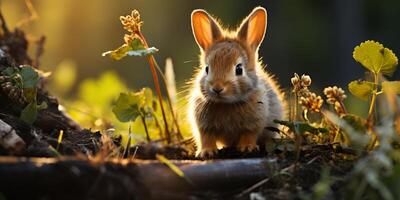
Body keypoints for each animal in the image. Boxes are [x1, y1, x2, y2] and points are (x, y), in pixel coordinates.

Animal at [189, 6, 286, 158]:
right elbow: (206, 138)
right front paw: (206, 152)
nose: (217, 88)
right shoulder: (203, 126)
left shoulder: (254, 123)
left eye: (239, 69)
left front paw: (247, 148)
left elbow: (249, 134)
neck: (226, 104)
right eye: (207, 69)